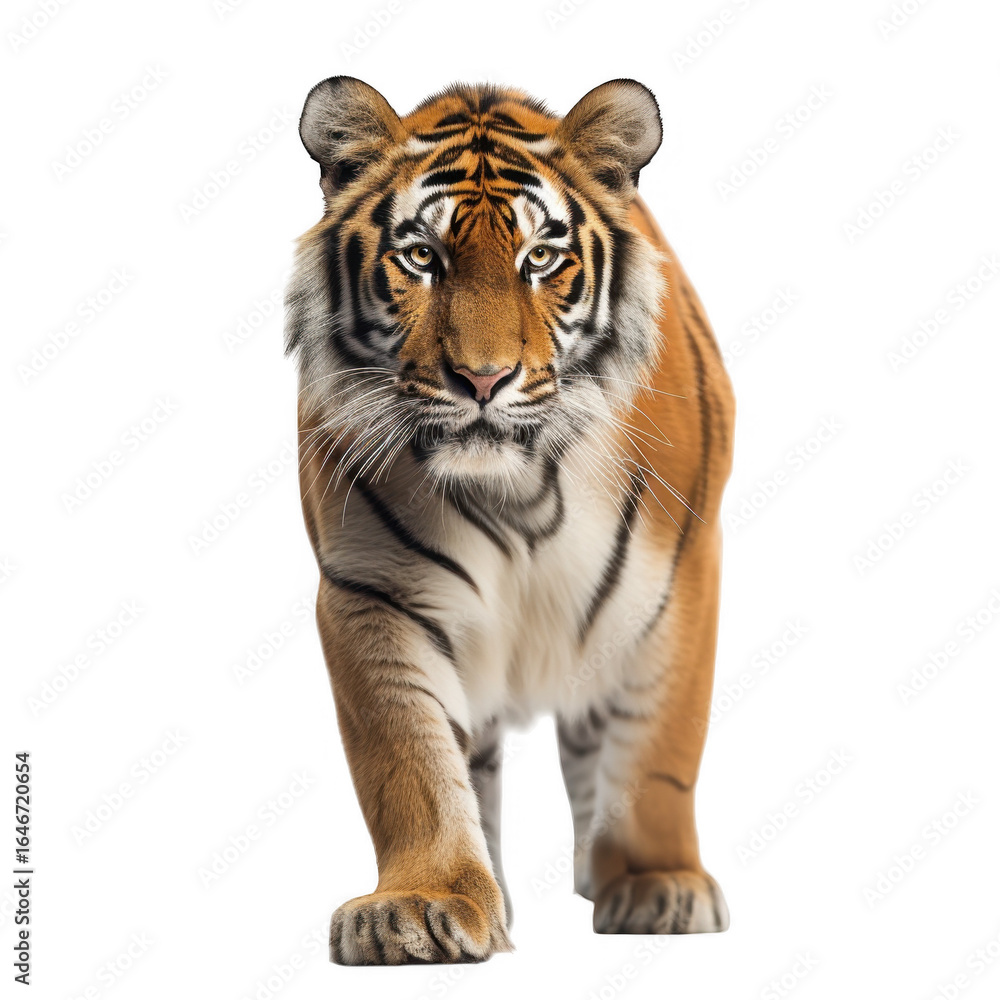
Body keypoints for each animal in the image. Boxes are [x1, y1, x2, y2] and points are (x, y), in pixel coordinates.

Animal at [286, 75, 735, 965]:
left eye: (542, 260)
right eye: (423, 257)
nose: (484, 379)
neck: (515, 489)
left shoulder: (679, 580)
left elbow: (659, 749)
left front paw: (659, 885)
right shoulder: (372, 592)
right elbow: (410, 764)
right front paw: (424, 904)